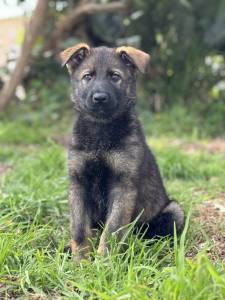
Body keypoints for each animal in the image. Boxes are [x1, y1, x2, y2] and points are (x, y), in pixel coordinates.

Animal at [60, 43, 185, 258]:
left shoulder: (123, 185)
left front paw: (104, 260)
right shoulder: (78, 182)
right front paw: (81, 259)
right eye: (88, 76)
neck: (101, 130)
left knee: (151, 235)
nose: (100, 98)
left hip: (173, 211)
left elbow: (112, 229)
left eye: (115, 77)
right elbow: (79, 228)